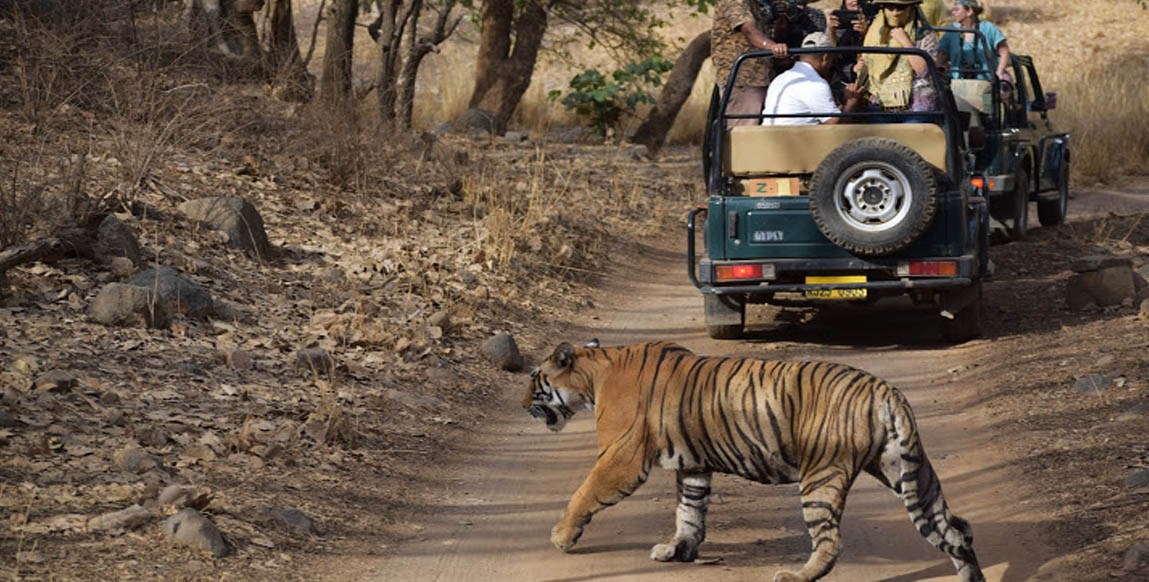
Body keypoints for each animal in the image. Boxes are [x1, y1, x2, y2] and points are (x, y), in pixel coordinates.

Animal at [526, 339, 983, 582]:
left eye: (535, 382)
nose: (521, 405)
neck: (594, 375)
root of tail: (887, 389)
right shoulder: (693, 466)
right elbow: (688, 512)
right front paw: (678, 549)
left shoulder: (621, 458)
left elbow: (584, 494)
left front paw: (561, 537)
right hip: (907, 471)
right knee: (955, 528)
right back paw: (971, 576)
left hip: (821, 475)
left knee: (831, 539)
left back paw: (796, 576)